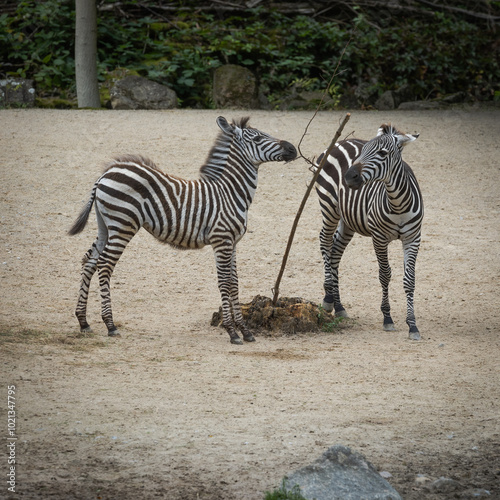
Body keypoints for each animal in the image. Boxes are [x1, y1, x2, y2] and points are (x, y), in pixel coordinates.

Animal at [69, 116, 296, 344]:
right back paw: (110, 324)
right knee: (105, 265)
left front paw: (245, 330)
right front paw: (232, 331)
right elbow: (225, 282)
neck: (230, 193)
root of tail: (105, 174)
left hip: (106, 225)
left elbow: (235, 282)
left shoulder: (232, 242)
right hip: (123, 224)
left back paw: (83, 321)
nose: (293, 149)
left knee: (89, 261)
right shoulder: (221, 240)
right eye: (257, 138)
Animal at [314, 123, 424, 340]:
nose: (348, 177)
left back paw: (339, 306)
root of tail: (340, 142)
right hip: (329, 206)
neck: (398, 204)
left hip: (348, 220)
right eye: (363, 151)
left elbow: (410, 280)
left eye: (382, 153)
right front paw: (387, 317)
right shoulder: (379, 238)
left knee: (335, 252)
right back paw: (329, 298)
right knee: (325, 241)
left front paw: (412, 325)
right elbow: (385, 274)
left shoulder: (413, 238)